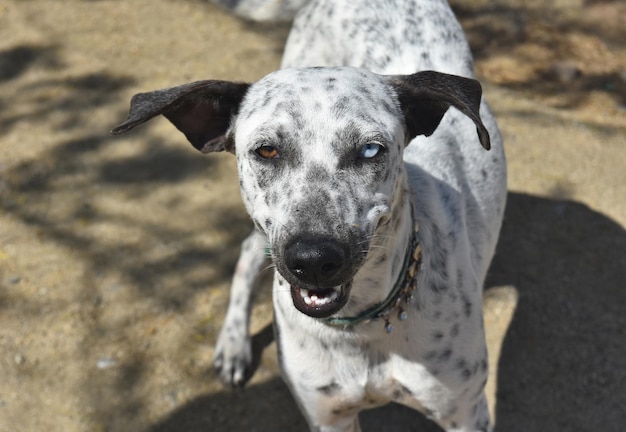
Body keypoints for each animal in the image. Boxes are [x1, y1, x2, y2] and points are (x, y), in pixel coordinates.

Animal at [109, 1, 504, 430]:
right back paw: (233, 345)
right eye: (266, 150)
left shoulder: (467, 415)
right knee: (248, 252)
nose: (313, 260)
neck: (360, 331)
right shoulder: (327, 416)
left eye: (370, 150)